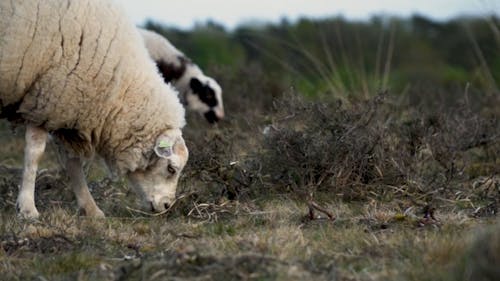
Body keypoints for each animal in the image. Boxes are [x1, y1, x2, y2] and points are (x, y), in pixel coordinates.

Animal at [0, 0, 189, 219]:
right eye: (171, 168)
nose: (167, 206)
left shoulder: (64, 107)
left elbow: (73, 163)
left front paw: (91, 209)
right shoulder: (45, 98)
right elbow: (35, 154)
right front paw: (28, 209)